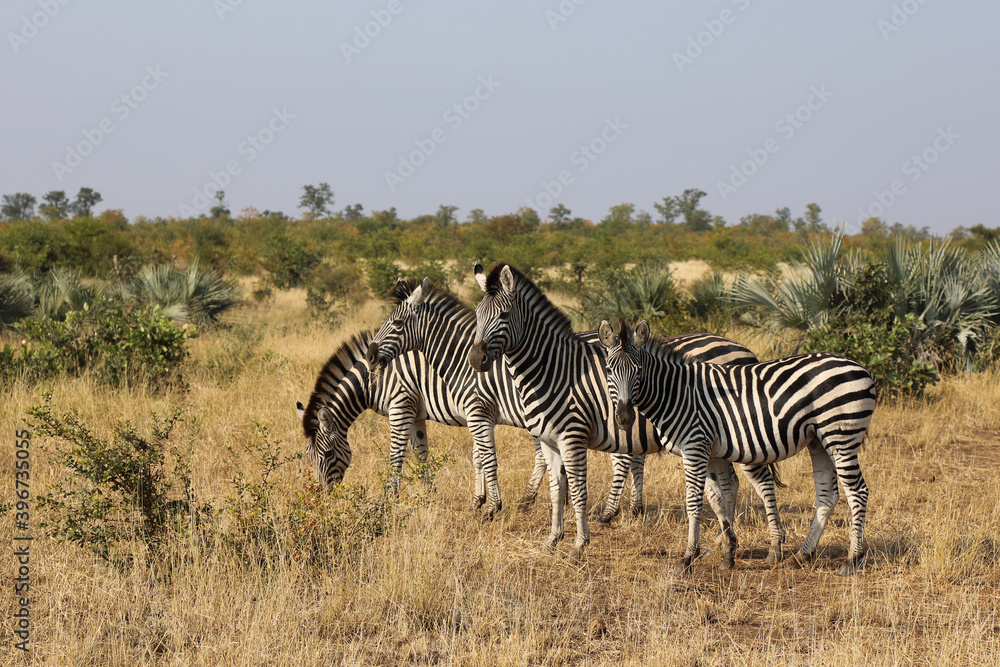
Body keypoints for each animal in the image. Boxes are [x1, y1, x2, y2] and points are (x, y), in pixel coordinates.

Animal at [368, 272, 790, 567]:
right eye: (477, 316)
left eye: (399, 324)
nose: (371, 354)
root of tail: (743, 348)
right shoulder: (539, 429)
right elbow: (548, 482)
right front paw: (537, 526)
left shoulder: (486, 411)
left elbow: (493, 460)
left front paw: (494, 509)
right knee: (725, 485)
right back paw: (721, 542)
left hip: (742, 435)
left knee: (762, 482)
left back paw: (773, 547)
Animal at [598, 317, 876, 575]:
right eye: (609, 371)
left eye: (638, 370)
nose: (624, 418)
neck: (676, 393)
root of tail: (864, 369)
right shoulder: (710, 452)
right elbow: (718, 500)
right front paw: (728, 555)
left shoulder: (694, 447)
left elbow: (694, 501)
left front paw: (687, 558)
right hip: (819, 440)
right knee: (827, 494)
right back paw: (801, 555)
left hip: (841, 436)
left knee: (858, 492)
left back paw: (852, 560)